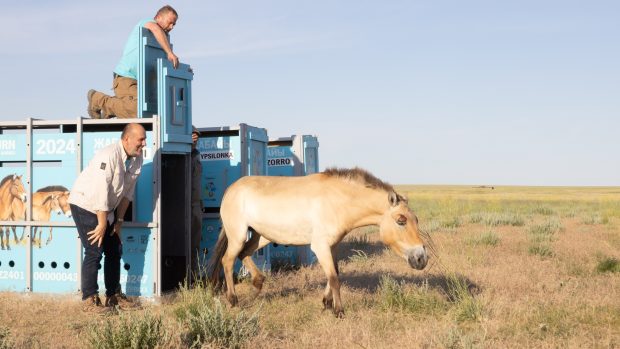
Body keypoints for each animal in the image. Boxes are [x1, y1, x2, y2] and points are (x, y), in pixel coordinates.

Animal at [208, 167, 426, 316]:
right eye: (401, 220)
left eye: (416, 219)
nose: (421, 258)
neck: (337, 200)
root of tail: (231, 189)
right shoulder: (320, 247)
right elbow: (334, 278)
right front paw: (338, 311)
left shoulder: (333, 246)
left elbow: (335, 273)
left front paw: (326, 303)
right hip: (237, 235)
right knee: (228, 260)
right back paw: (233, 300)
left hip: (261, 236)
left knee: (244, 253)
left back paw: (258, 283)